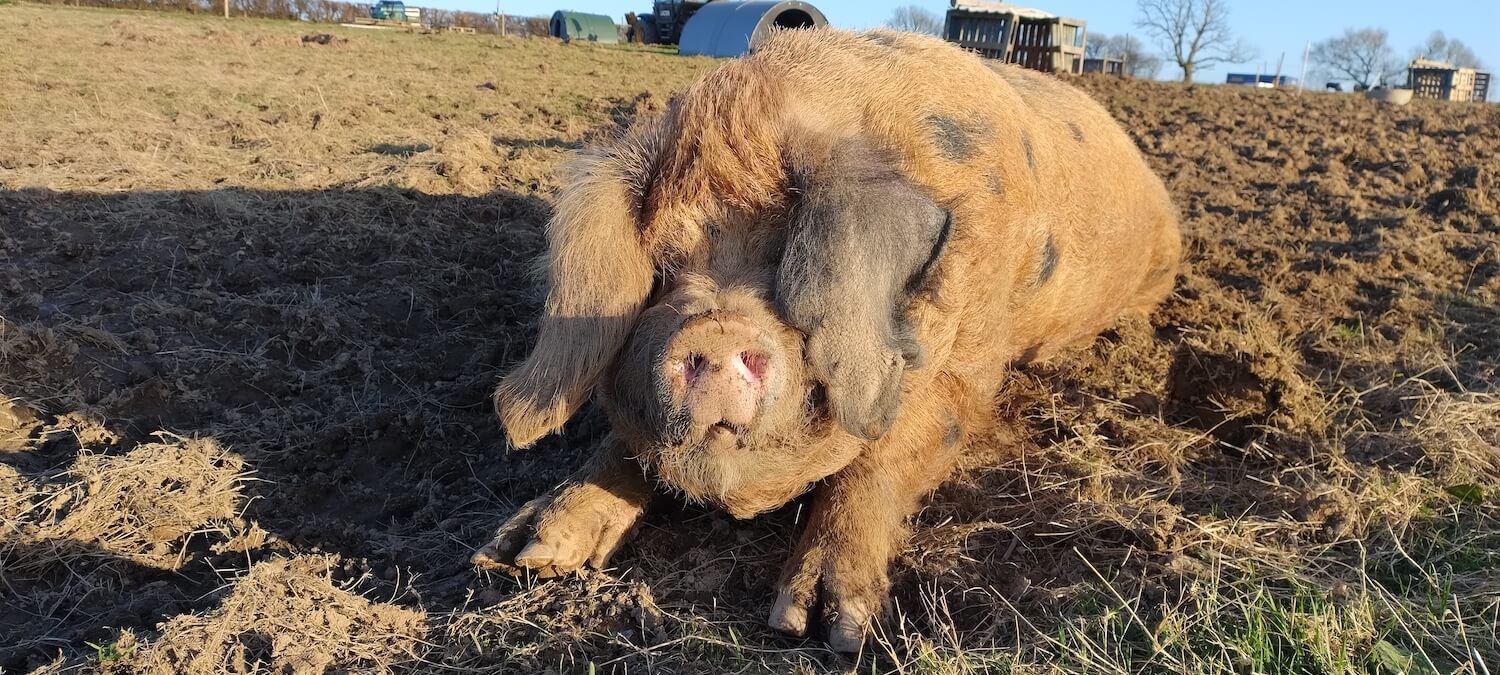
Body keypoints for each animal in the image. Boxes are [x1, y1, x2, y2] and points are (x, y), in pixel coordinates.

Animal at [471, 27, 1182, 652]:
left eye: (786, 260)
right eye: (663, 267)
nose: (715, 331)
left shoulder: (971, 370)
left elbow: (879, 460)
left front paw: (820, 629)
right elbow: (623, 443)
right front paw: (521, 557)